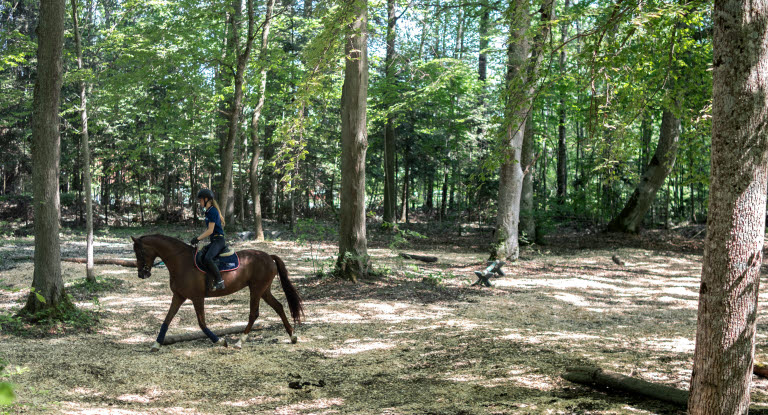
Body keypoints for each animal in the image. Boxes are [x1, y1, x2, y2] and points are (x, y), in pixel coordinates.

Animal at [130, 234, 302, 352]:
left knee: (254, 313)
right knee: (278, 307)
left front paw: (220, 341)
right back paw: (292, 336)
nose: (141, 274)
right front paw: (156, 344)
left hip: (256, 289)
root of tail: (268, 256)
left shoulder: (197, 297)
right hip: (264, 290)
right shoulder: (178, 296)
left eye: (140, 252)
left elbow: (202, 323)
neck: (181, 262)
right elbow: (166, 320)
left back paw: (240, 342)